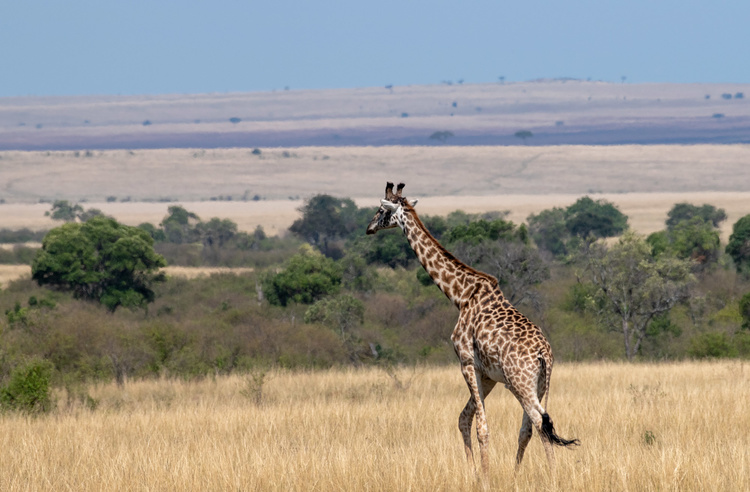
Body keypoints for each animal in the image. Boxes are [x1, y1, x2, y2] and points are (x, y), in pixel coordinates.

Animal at [368, 183, 580, 474]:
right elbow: (464, 419)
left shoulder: (467, 363)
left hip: (521, 384)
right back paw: (517, 475)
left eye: (381, 210)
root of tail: (543, 354)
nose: (368, 228)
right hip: (539, 385)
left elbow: (482, 428)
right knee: (531, 427)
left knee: (540, 424)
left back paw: (553, 476)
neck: (460, 295)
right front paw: (474, 472)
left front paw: (484, 475)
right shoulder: (488, 375)